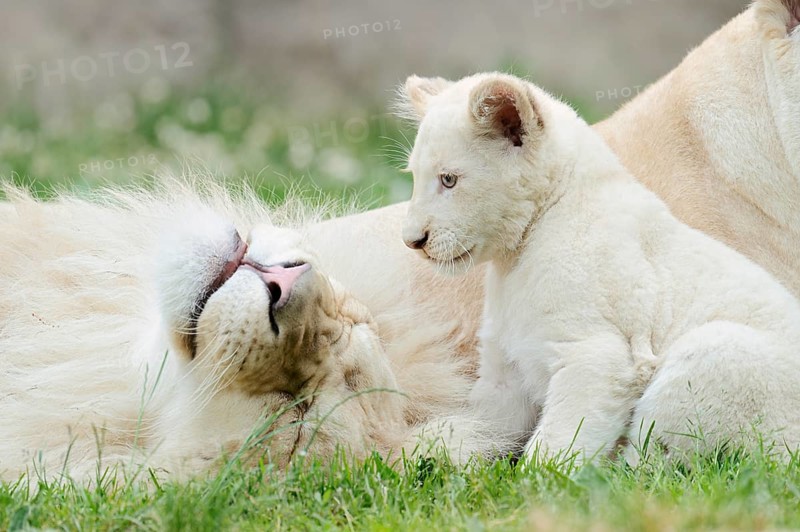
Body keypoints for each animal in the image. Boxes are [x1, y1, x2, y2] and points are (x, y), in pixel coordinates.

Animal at [400, 70, 800, 463]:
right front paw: (430, 448)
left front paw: (537, 480)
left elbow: (556, 443)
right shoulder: (505, 369)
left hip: (713, 356)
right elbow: (479, 425)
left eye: (448, 179)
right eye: (415, 177)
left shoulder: (595, 354)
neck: (516, 258)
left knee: (650, 465)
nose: (412, 240)